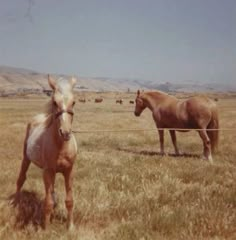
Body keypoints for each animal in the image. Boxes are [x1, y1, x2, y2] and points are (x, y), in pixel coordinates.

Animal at [15, 76, 78, 230]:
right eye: (54, 102)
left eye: (74, 102)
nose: (65, 133)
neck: (61, 146)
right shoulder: (47, 171)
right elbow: (48, 202)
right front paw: (46, 228)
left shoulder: (69, 171)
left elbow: (69, 200)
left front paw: (70, 227)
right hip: (26, 159)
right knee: (21, 179)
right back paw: (16, 202)